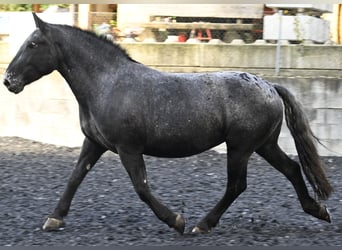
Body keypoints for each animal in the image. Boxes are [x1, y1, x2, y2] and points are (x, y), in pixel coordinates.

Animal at [4, 12, 332, 233]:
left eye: (33, 44)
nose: (9, 80)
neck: (107, 84)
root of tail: (269, 86)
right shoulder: (95, 143)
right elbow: (74, 177)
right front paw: (54, 218)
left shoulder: (128, 148)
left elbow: (142, 188)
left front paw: (176, 220)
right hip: (263, 145)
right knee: (291, 168)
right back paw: (318, 210)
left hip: (240, 147)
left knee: (237, 185)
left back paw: (202, 224)